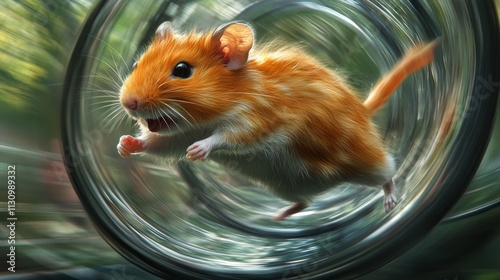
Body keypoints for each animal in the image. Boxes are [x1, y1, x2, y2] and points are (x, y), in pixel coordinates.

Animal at [117, 20, 438, 221]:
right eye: (137, 63)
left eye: (182, 70)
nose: (128, 103)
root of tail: (364, 108)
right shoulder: (177, 136)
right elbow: (157, 144)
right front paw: (124, 145)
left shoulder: (257, 120)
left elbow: (225, 138)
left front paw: (197, 152)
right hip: (285, 186)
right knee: (305, 202)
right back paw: (277, 216)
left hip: (366, 164)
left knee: (389, 172)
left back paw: (390, 203)